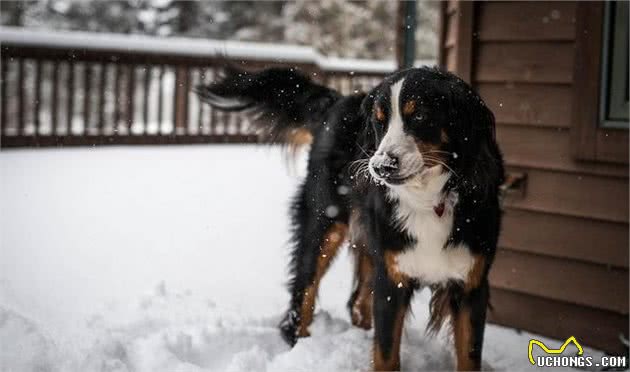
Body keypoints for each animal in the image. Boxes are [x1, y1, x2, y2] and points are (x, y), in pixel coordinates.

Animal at [200, 65, 506, 370]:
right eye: (380, 122)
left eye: (419, 115)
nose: (381, 166)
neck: (429, 200)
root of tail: (337, 101)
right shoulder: (391, 280)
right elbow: (385, 354)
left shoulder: (472, 285)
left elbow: (469, 356)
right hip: (323, 224)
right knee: (303, 294)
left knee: (357, 302)